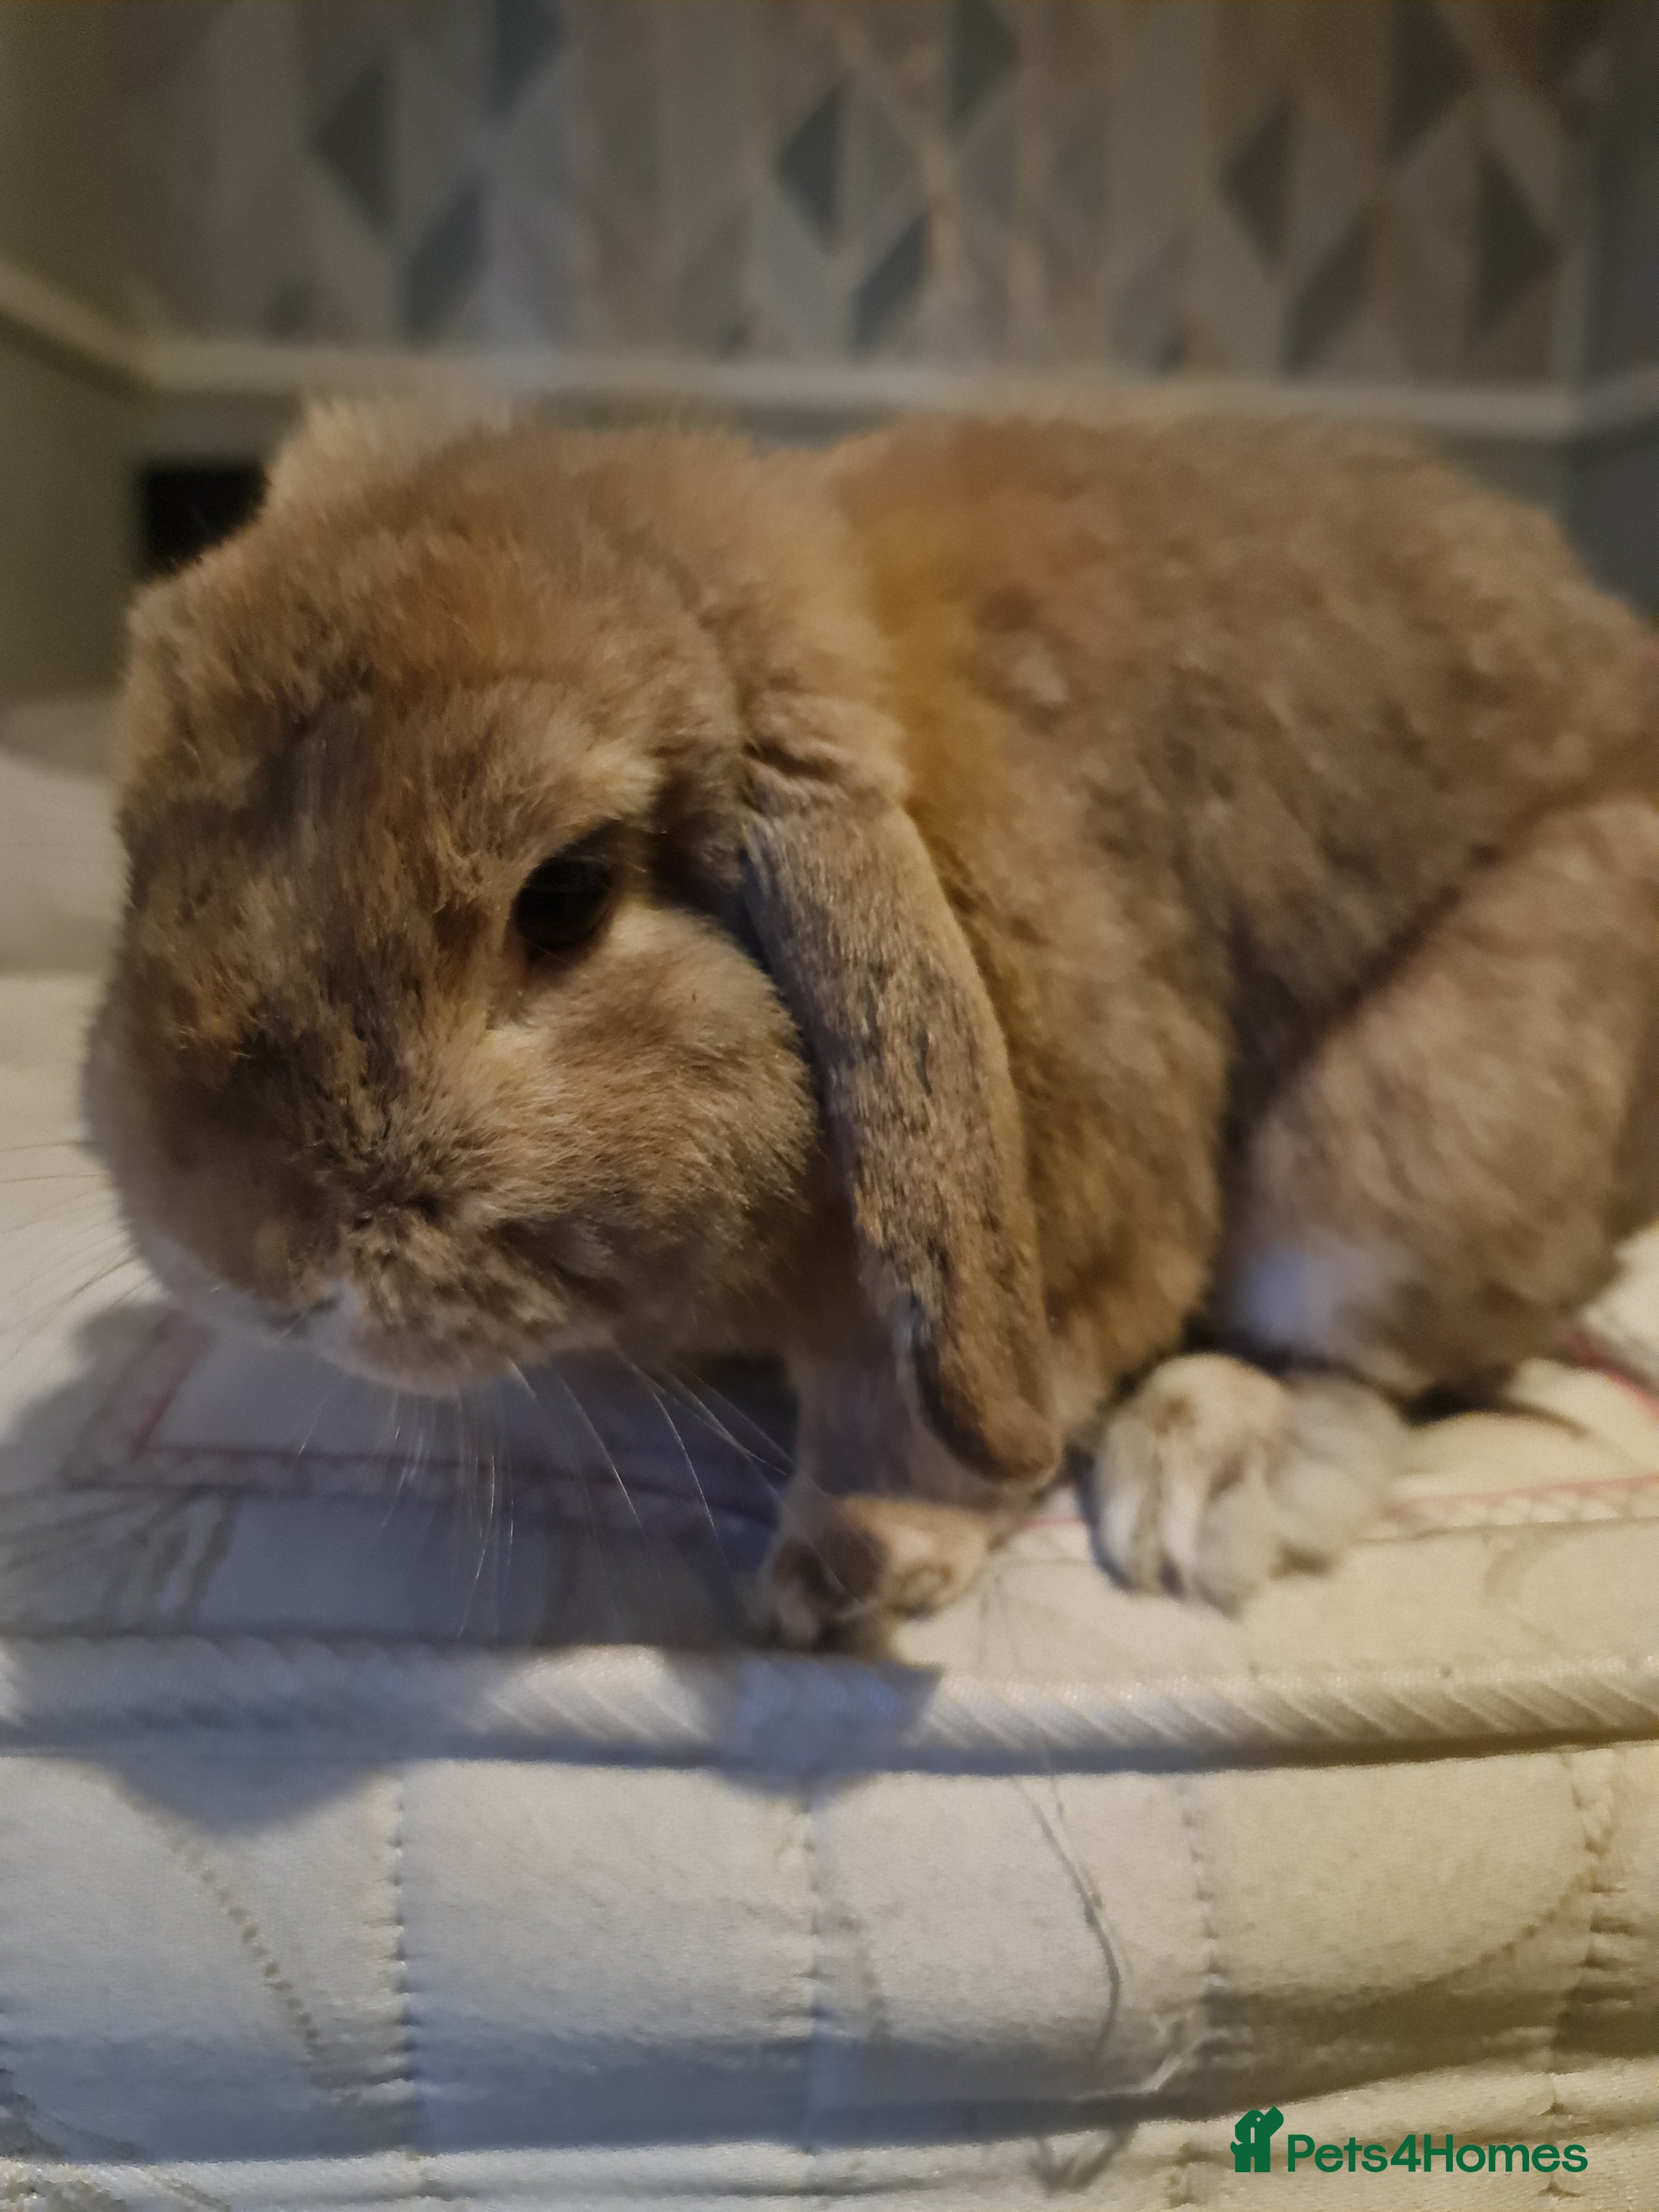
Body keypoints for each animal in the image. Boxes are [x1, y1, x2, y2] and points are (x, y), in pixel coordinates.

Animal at [85, 401, 1659, 1647]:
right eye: (140, 844)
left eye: (569, 894)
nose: (243, 1255)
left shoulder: (1076, 1241)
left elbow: (922, 1415)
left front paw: (848, 1570)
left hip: (1388, 1158)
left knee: (1374, 1357)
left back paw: (1197, 1478)